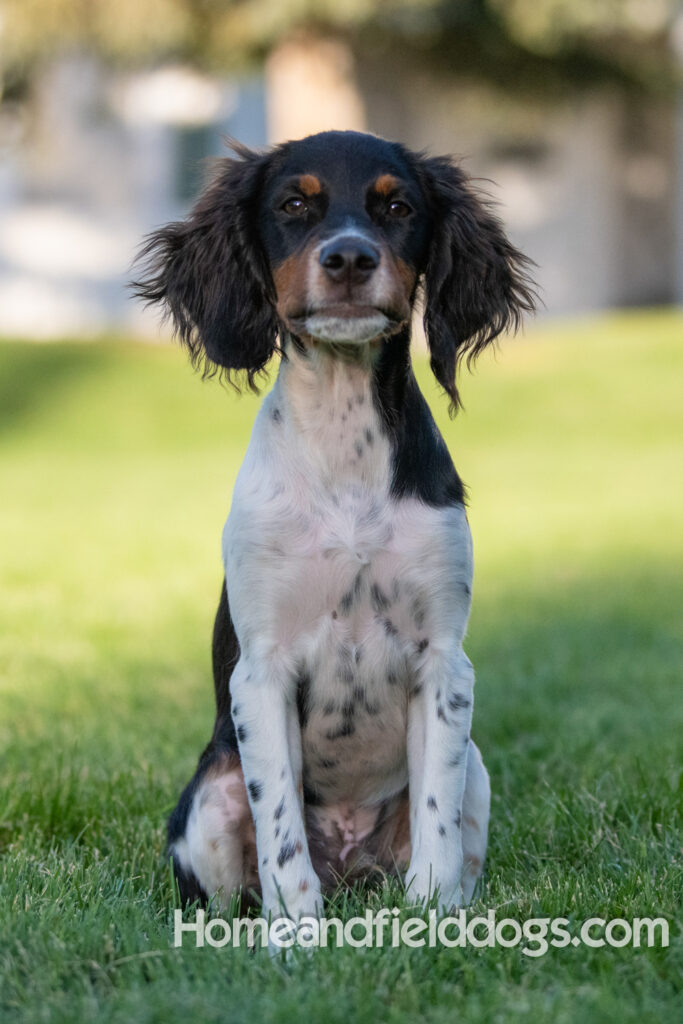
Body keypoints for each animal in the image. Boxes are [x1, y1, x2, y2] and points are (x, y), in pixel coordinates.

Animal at [133, 130, 536, 929]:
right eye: (294, 205)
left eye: (397, 207)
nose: (349, 258)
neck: (345, 449)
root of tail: (349, 864)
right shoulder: (260, 670)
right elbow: (280, 830)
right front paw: (296, 935)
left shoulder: (444, 663)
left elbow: (437, 820)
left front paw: (431, 919)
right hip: (208, 796)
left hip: (477, 770)